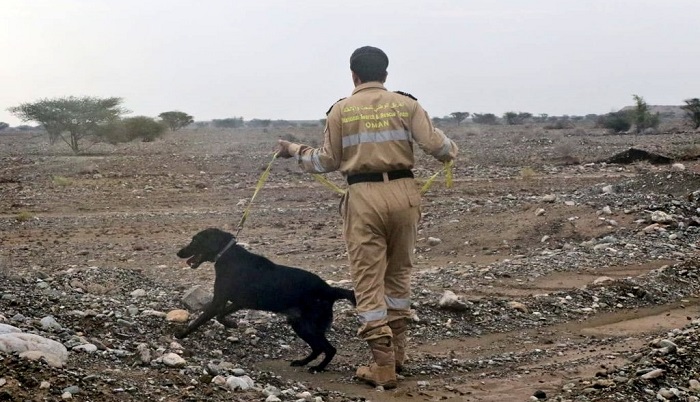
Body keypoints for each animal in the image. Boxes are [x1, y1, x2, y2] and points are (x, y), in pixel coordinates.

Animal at [175, 228, 356, 372]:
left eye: (195, 240)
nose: (178, 253)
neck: (226, 254)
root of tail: (330, 290)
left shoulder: (219, 300)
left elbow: (199, 320)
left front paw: (181, 334)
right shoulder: (237, 302)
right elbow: (220, 316)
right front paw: (231, 324)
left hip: (310, 325)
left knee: (329, 349)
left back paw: (317, 368)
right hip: (299, 324)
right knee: (318, 348)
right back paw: (302, 362)